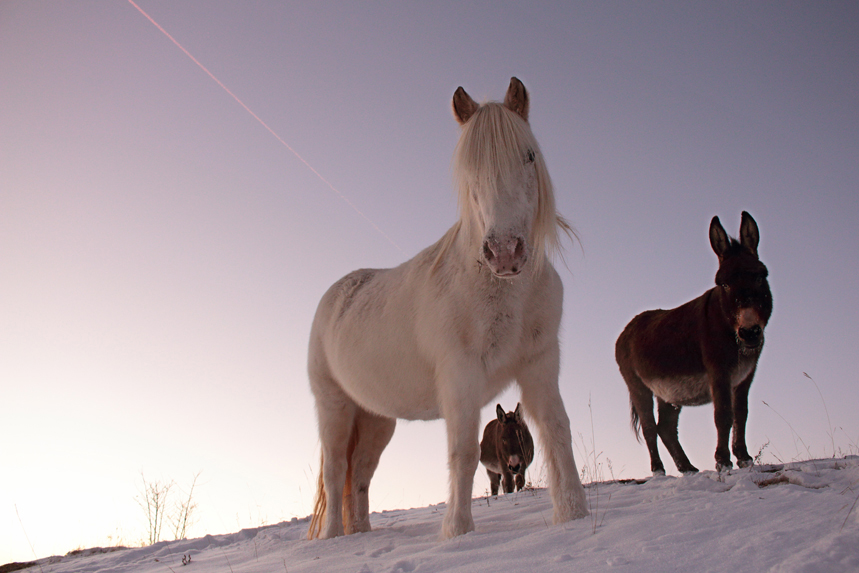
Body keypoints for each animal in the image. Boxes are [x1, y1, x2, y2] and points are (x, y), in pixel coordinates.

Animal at [306, 77, 588, 540]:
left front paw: (574, 513)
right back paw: (332, 538)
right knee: (334, 471)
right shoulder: (461, 376)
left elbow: (557, 432)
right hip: (335, 407)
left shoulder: (540, 364)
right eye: (468, 168)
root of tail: (334, 295)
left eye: (529, 155)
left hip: (376, 418)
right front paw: (456, 531)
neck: (499, 290)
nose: (504, 252)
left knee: (359, 473)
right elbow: (463, 452)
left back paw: (359, 533)